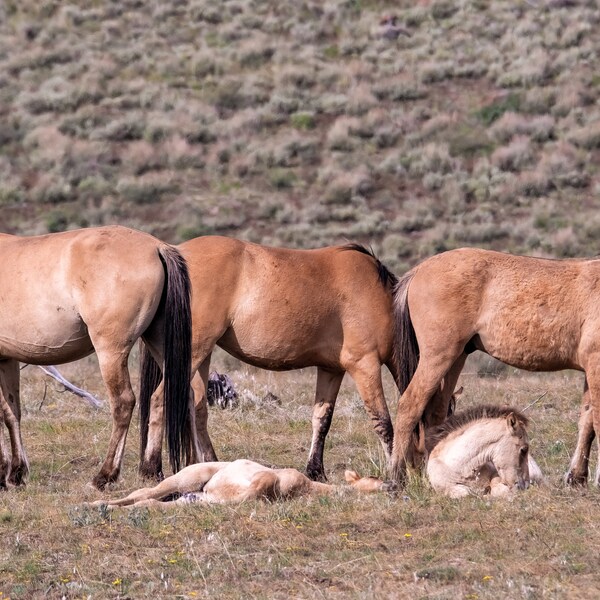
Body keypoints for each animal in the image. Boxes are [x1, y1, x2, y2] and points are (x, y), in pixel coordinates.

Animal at [0, 227, 193, 490]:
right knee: (170, 395)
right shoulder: (7, 359)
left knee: (123, 403)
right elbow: (11, 412)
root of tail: (157, 247)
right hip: (159, 344)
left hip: (111, 352)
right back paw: (155, 469)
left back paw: (104, 475)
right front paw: (15, 473)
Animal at [139, 237, 404, 480]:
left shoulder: (331, 370)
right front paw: (395, 472)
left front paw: (315, 471)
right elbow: (383, 421)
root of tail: (173, 253)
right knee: (160, 400)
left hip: (193, 358)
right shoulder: (364, 365)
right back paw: (152, 470)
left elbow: (322, 420)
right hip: (193, 354)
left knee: (196, 406)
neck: (377, 295)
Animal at [390, 246, 600, 486]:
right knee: (409, 406)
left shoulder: (590, 370)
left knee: (435, 412)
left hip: (455, 359)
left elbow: (587, 423)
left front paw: (577, 477)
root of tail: (418, 270)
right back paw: (395, 475)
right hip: (438, 356)